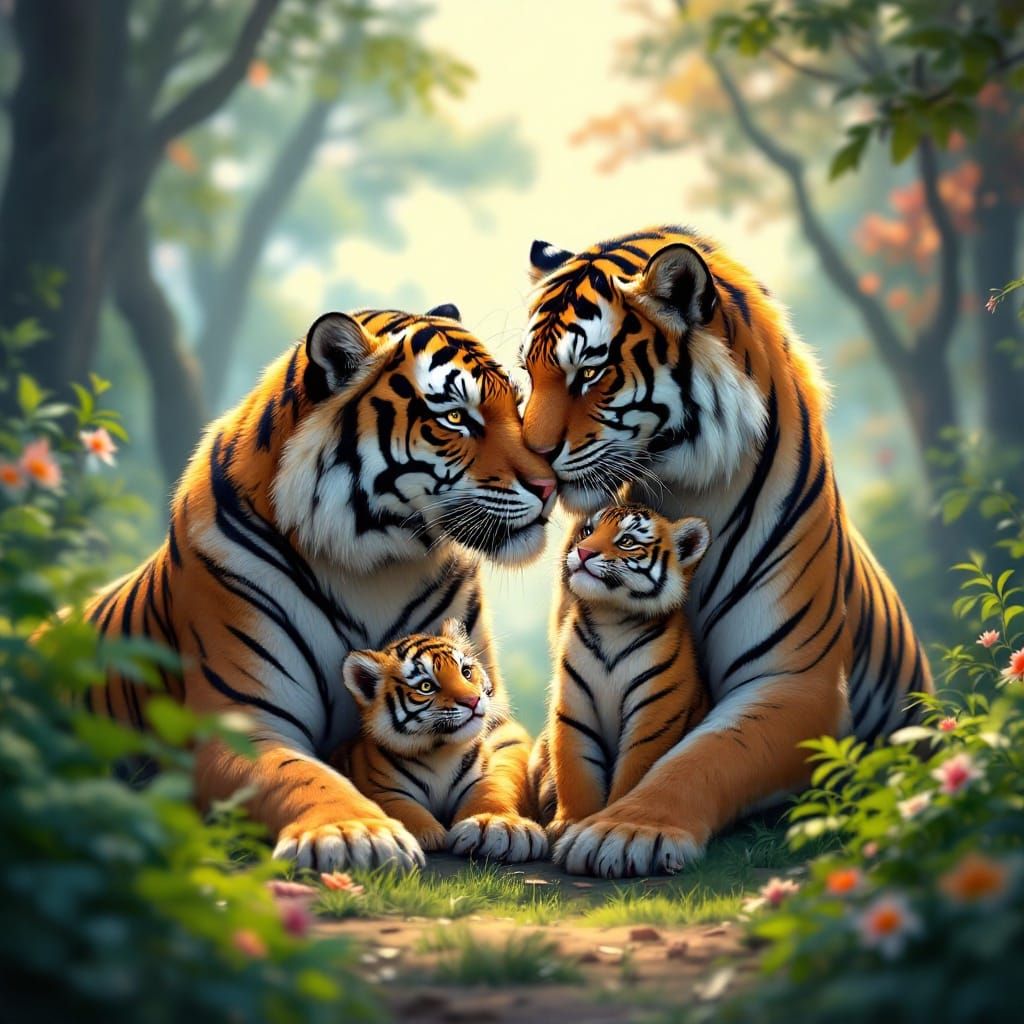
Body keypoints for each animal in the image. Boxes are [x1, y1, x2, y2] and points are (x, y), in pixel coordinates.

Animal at [333, 619, 546, 861]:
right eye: (426, 687)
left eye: (465, 672)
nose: (473, 700)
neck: (441, 751)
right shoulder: (384, 790)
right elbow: (402, 809)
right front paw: (426, 834)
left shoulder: (480, 779)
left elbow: (490, 794)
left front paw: (499, 827)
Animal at [529, 504, 711, 852]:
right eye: (588, 531)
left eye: (626, 541)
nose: (583, 552)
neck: (610, 617)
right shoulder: (574, 710)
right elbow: (576, 769)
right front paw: (569, 823)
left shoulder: (653, 714)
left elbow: (633, 774)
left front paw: (608, 823)